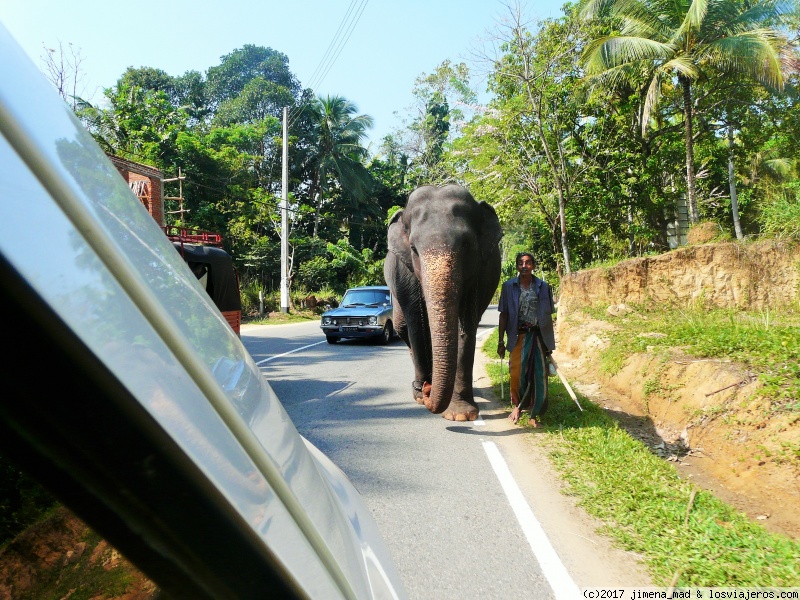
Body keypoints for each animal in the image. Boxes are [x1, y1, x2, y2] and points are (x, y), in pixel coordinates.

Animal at [382, 184, 500, 422]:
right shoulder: (404, 273)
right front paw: (423, 395)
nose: (428, 390)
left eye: (467, 245)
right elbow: (417, 324)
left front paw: (461, 414)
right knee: (403, 328)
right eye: (414, 249)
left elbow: (466, 325)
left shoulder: (481, 273)